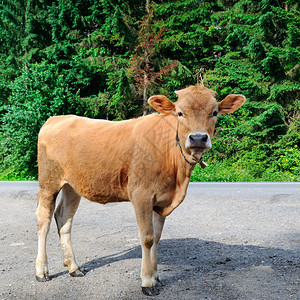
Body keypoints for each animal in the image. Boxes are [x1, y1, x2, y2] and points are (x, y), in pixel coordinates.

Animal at [35, 84, 246, 296]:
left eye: (214, 112)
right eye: (180, 113)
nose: (198, 138)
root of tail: (57, 118)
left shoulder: (162, 200)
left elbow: (157, 238)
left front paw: (156, 275)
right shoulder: (141, 195)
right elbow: (147, 238)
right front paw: (147, 281)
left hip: (73, 185)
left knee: (64, 218)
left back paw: (73, 267)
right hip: (48, 181)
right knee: (43, 219)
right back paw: (41, 271)